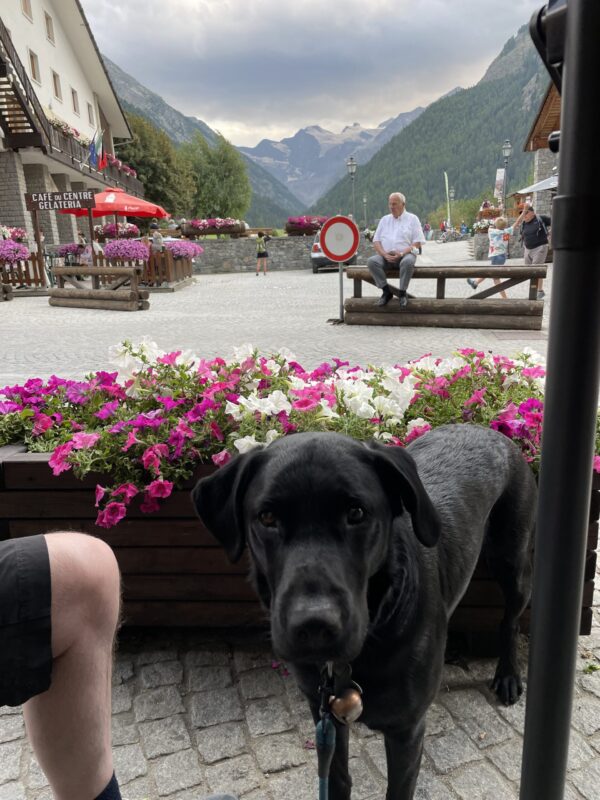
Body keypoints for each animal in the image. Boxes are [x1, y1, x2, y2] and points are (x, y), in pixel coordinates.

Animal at [192, 422, 536, 796]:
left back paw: (508, 676)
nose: (314, 625)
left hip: (513, 563)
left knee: (510, 620)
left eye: (356, 513)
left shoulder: (406, 730)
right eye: (267, 517)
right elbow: (338, 778)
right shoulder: (323, 714)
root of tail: (485, 428)